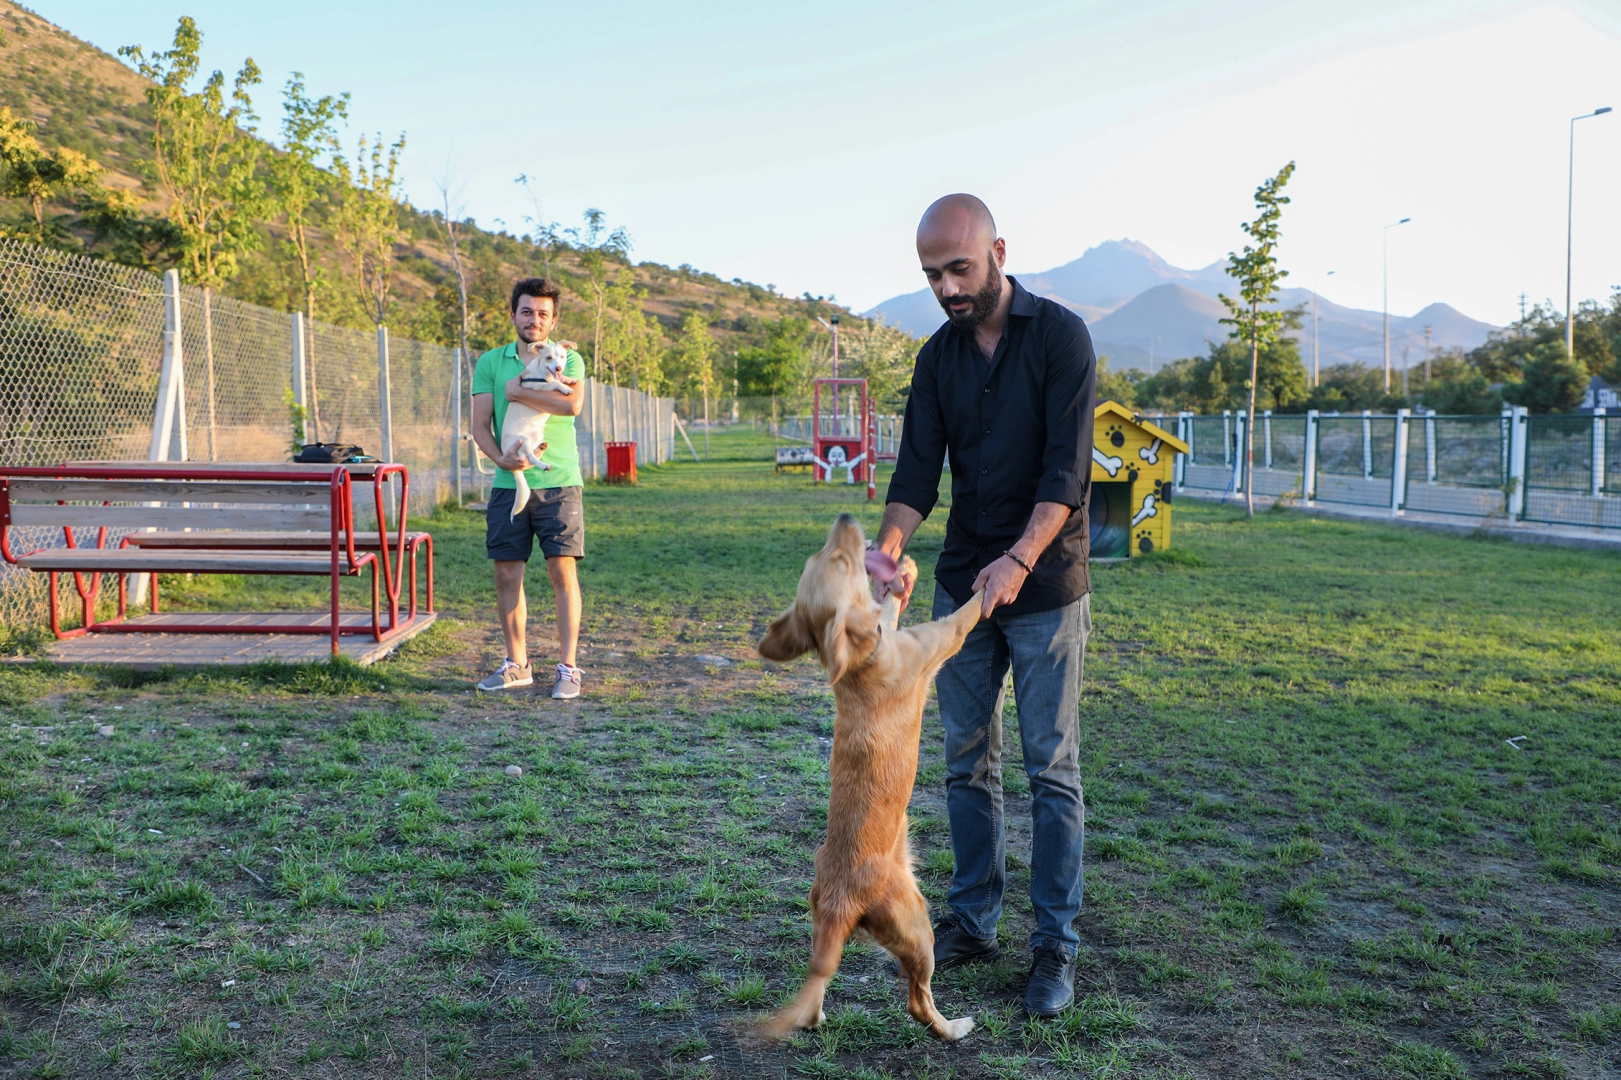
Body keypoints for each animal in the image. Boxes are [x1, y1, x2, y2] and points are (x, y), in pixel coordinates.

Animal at [502, 338, 573, 518]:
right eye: (548, 358)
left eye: (562, 357)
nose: (559, 368)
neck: (542, 373)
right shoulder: (538, 387)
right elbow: (554, 383)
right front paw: (564, 387)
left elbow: (559, 379)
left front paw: (568, 379)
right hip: (523, 441)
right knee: (530, 457)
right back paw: (544, 465)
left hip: (536, 436)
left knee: (531, 456)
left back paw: (541, 448)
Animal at [758, 512, 985, 1044]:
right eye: (840, 561)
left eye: (820, 555)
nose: (845, 517)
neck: (860, 661)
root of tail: (840, 904)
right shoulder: (940, 639)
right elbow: (968, 611)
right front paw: (996, 580)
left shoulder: (890, 626)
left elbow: (889, 605)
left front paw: (903, 574)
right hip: (919, 928)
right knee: (918, 1002)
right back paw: (955, 1027)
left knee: (817, 991)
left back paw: (817, 1017)